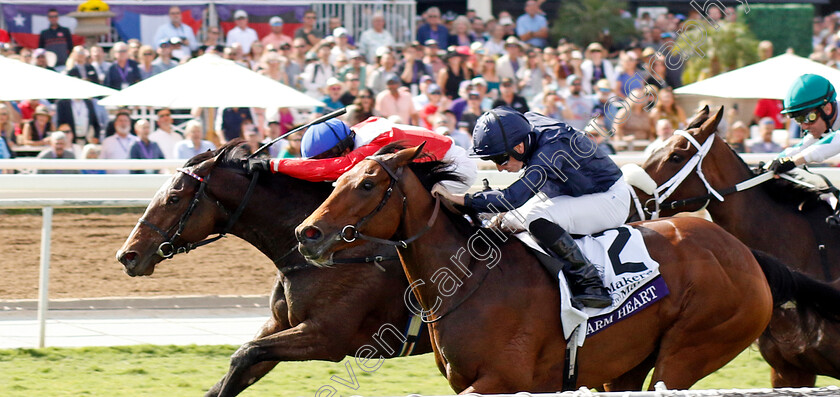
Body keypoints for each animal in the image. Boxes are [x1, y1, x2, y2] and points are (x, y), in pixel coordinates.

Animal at [115, 141, 430, 394]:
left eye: (173, 198)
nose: (127, 255)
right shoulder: (281, 324)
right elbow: (238, 367)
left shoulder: (326, 337)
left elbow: (244, 354)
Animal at [292, 142, 840, 390]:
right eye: (337, 179)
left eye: (367, 184)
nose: (306, 234)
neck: (471, 281)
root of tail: (744, 254)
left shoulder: (501, 380)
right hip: (625, 367)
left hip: (693, 349)